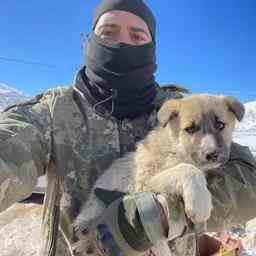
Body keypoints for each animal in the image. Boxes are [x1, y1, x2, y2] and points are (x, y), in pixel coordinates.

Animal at [75, 93, 244, 236]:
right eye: (190, 129)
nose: (212, 154)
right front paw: (199, 203)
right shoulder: (143, 183)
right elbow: (188, 169)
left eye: (220, 125)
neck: (175, 147)